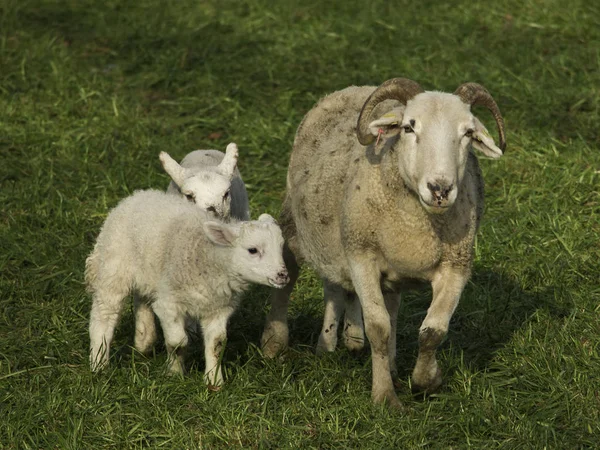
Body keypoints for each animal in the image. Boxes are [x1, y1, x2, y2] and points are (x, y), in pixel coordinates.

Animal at [86, 190, 288, 386]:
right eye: (252, 250)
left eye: (281, 248)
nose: (283, 275)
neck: (210, 258)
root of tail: (136, 196)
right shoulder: (168, 304)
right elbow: (177, 342)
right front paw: (174, 373)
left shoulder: (218, 308)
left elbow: (217, 344)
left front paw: (214, 382)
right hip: (114, 267)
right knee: (104, 315)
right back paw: (99, 363)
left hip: (146, 273)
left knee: (142, 299)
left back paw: (144, 339)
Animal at [262, 77, 506, 408]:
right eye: (409, 127)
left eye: (468, 132)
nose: (440, 189)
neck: (418, 223)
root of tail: (354, 87)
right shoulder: (361, 256)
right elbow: (379, 327)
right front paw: (384, 396)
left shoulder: (456, 265)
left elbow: (433, 331)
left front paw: (426, 380)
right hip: (299, 225)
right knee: (288, 277)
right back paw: (274, 341)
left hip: (349, 243)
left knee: (341, 288)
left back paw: (342, 343)